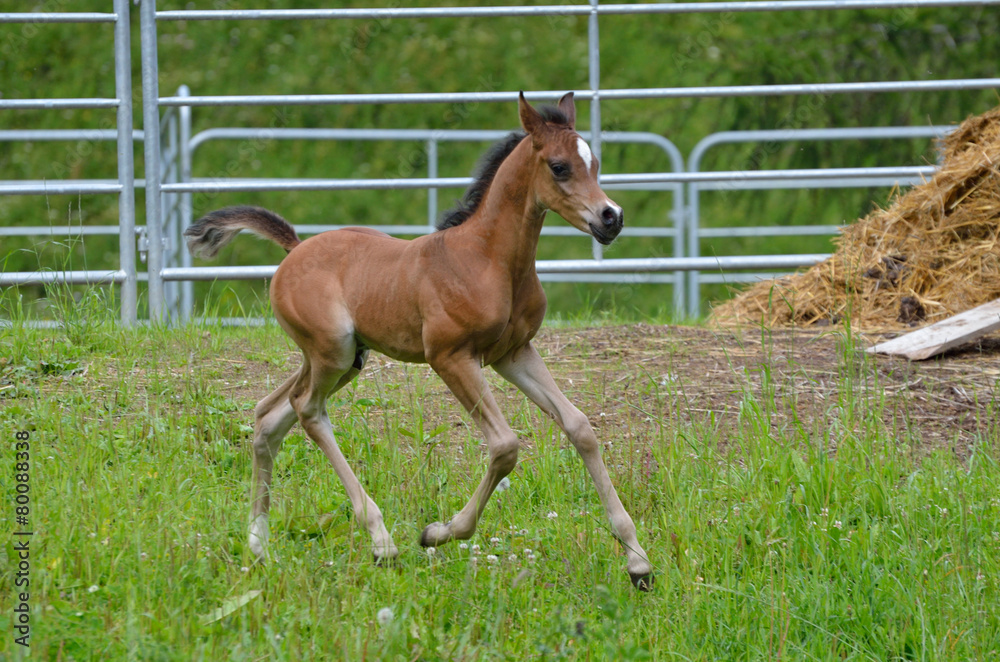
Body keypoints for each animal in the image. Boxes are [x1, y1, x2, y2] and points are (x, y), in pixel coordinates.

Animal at [184, 92, 653, 589]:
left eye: (595, 163)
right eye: (560, 167)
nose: (611, 218)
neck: (488, 260)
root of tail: (295, 249)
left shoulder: (514, 353)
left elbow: (580, 427)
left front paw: (638, 562)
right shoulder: (450, 357)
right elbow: (505, 446)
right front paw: (437, 533)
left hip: (344, 359)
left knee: (270, 414)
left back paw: (258, 546)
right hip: (332, 352)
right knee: (307, 410)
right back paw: (381, 541)